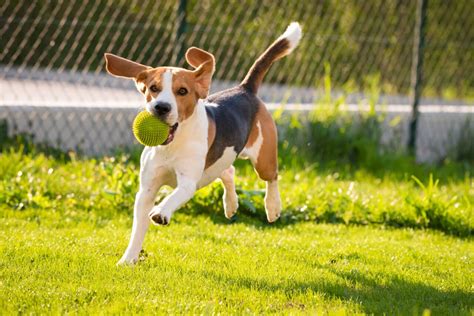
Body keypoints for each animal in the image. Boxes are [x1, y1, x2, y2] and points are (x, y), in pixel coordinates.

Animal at [105, 22, 302, 264]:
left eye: (182, 91)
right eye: (153, 88)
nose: (161, 107)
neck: (172, 145)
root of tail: (244, 89)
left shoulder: (187, 182)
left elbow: (172, 197)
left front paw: (161, 212)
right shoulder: (147, 189)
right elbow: (137, 230)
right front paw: (128, 260)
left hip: (263, 159)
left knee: (272, 177)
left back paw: (273, 207)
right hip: (217, 163)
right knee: (228, 171)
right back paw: (231, 205)